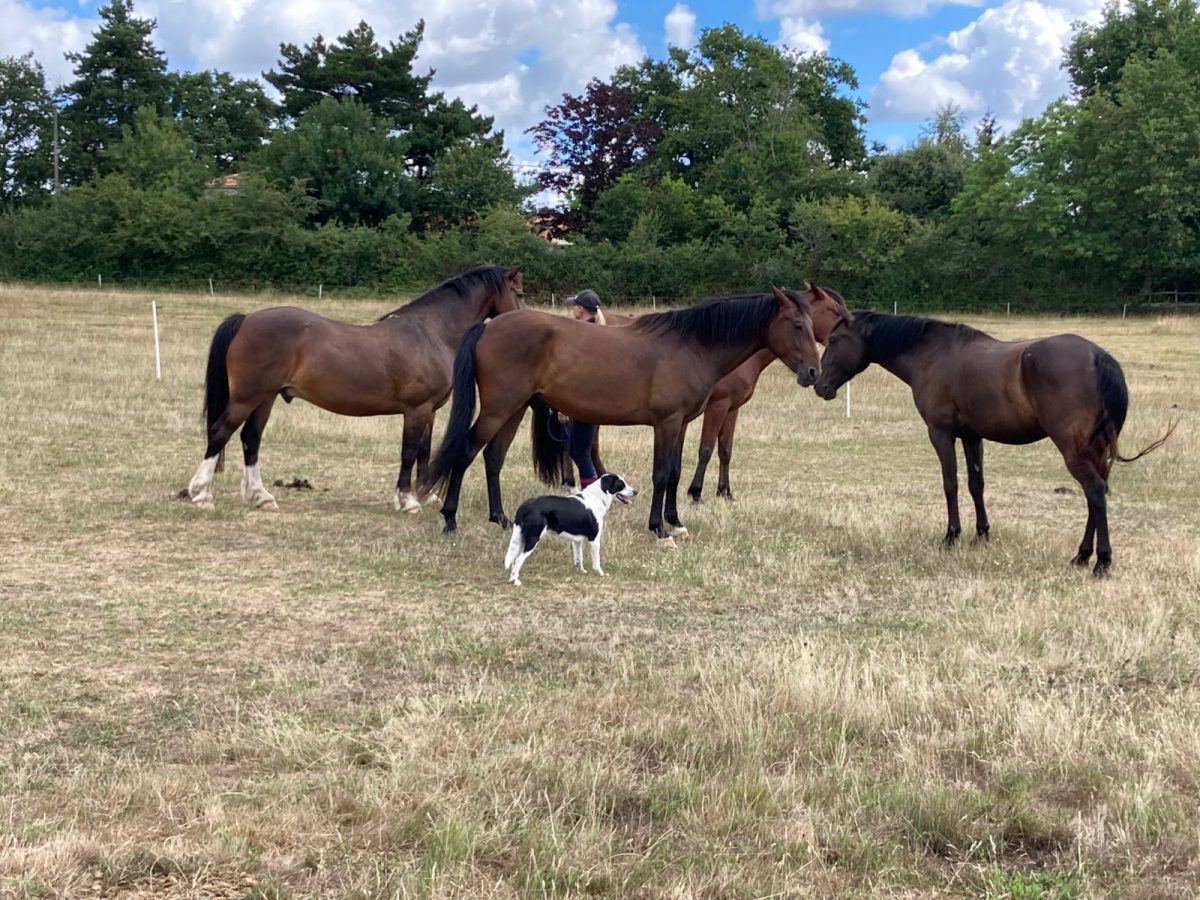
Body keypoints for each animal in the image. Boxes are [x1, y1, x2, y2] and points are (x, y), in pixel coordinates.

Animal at [184, 264, 523, 511]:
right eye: (518, 292)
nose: (522, 320)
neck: (431, 332)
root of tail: (246, 319)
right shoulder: (416, 410)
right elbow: (409, 452)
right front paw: (408, 501)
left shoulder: (429, 412)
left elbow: (424, 451)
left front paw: (424, 495)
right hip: (247, 397)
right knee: (219, 433)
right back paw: (201, 494)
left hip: (264, 399)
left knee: (250, 439)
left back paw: (261, 496)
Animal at [420, 289, 825, 542]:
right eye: (797, 325)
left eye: (811, 323)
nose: (813, 373)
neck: (691, 346)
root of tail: (489, 326)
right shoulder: (667, 423)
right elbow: (661, 474)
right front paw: (658, 527)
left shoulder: (681, 424)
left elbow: (675, 473)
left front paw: (675, 521)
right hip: (498, 408)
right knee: (465, 453)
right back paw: (451, 520)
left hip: (514, 408)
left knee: (493, 457)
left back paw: (501, 518)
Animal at [504, 475, 638, 588]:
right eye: (621, 484)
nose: (636, 492)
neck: (597, 498)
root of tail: (524, 507)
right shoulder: (594, 539)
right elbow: (596, 561)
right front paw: (601, 574)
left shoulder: (577, 540)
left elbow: (579, 558)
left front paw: (581, 571)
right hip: (533, 538)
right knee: (518, 560)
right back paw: (515, 581)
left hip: (521, 538)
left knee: (514, 559)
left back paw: (511, 579)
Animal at [816, 309, 1171, 578]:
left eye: (833, 340)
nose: (819, 385)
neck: (932, 356)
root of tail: (1098, 357)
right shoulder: (972, 436)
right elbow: (976, 484)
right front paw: (982, 534)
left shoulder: (940, 433)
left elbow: (950, 484)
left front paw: (952, 536)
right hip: (1095, 451)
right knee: (1096, 495)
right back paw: (1082, 556)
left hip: (1074, 450)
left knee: (1095, 492)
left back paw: (1101, 562)